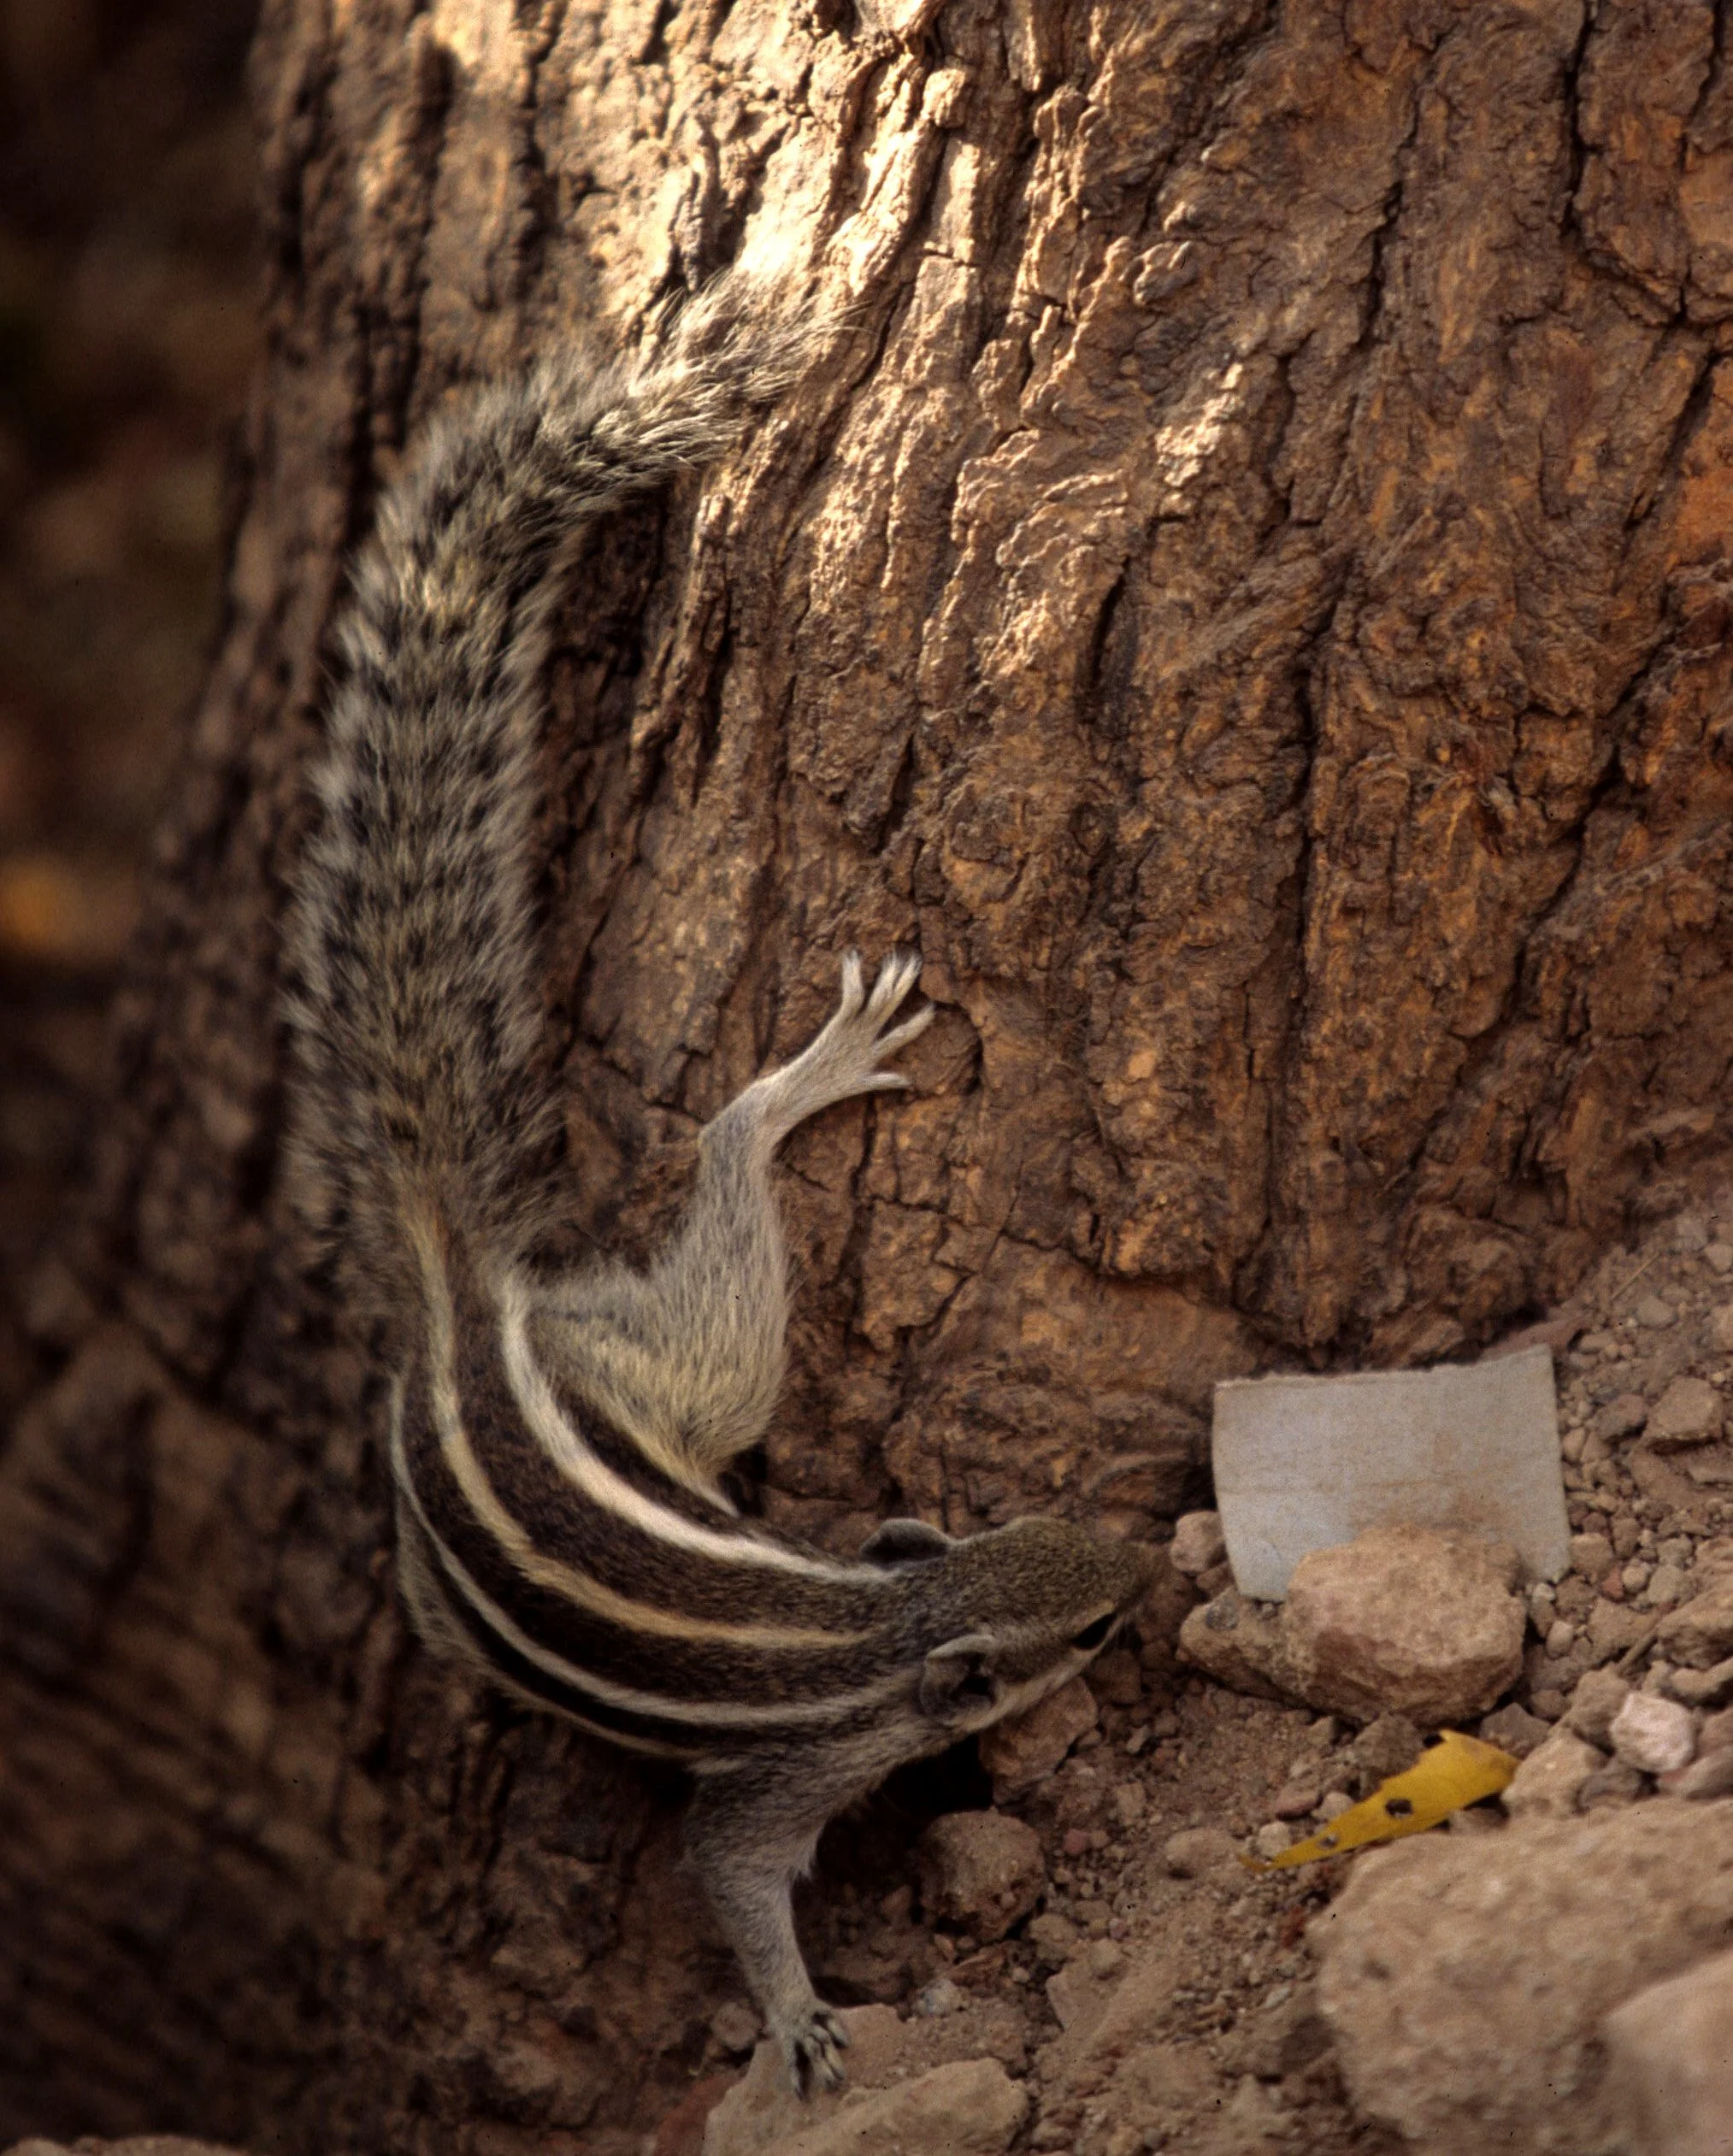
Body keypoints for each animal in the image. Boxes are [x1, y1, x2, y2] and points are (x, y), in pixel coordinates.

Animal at [283, 269, 1157, 2094]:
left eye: (1066, 1541)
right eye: (1093, 1631)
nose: (1151, 1567)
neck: (881, 1633)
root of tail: (462, 1318)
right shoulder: (790, 1776)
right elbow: (732, 1875)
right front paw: (802, 2015)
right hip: (695, 1368)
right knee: (731, 1172)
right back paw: (800, 1083)